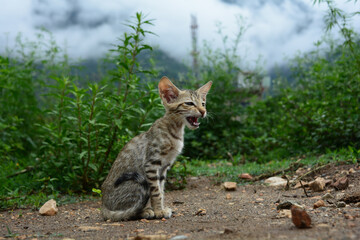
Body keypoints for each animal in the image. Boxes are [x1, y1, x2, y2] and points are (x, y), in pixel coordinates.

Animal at [100, 77, 212, 221]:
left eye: (203, 103)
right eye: (189, 103)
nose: (203, 111)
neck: (175, 130)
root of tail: (103, 207)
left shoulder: (164, 167)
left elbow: (161, 190)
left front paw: (161, 208)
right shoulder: (152, 164)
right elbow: (156, 192)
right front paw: (159, 211)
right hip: (137, 183)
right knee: (128, 211)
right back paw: (144, 211)